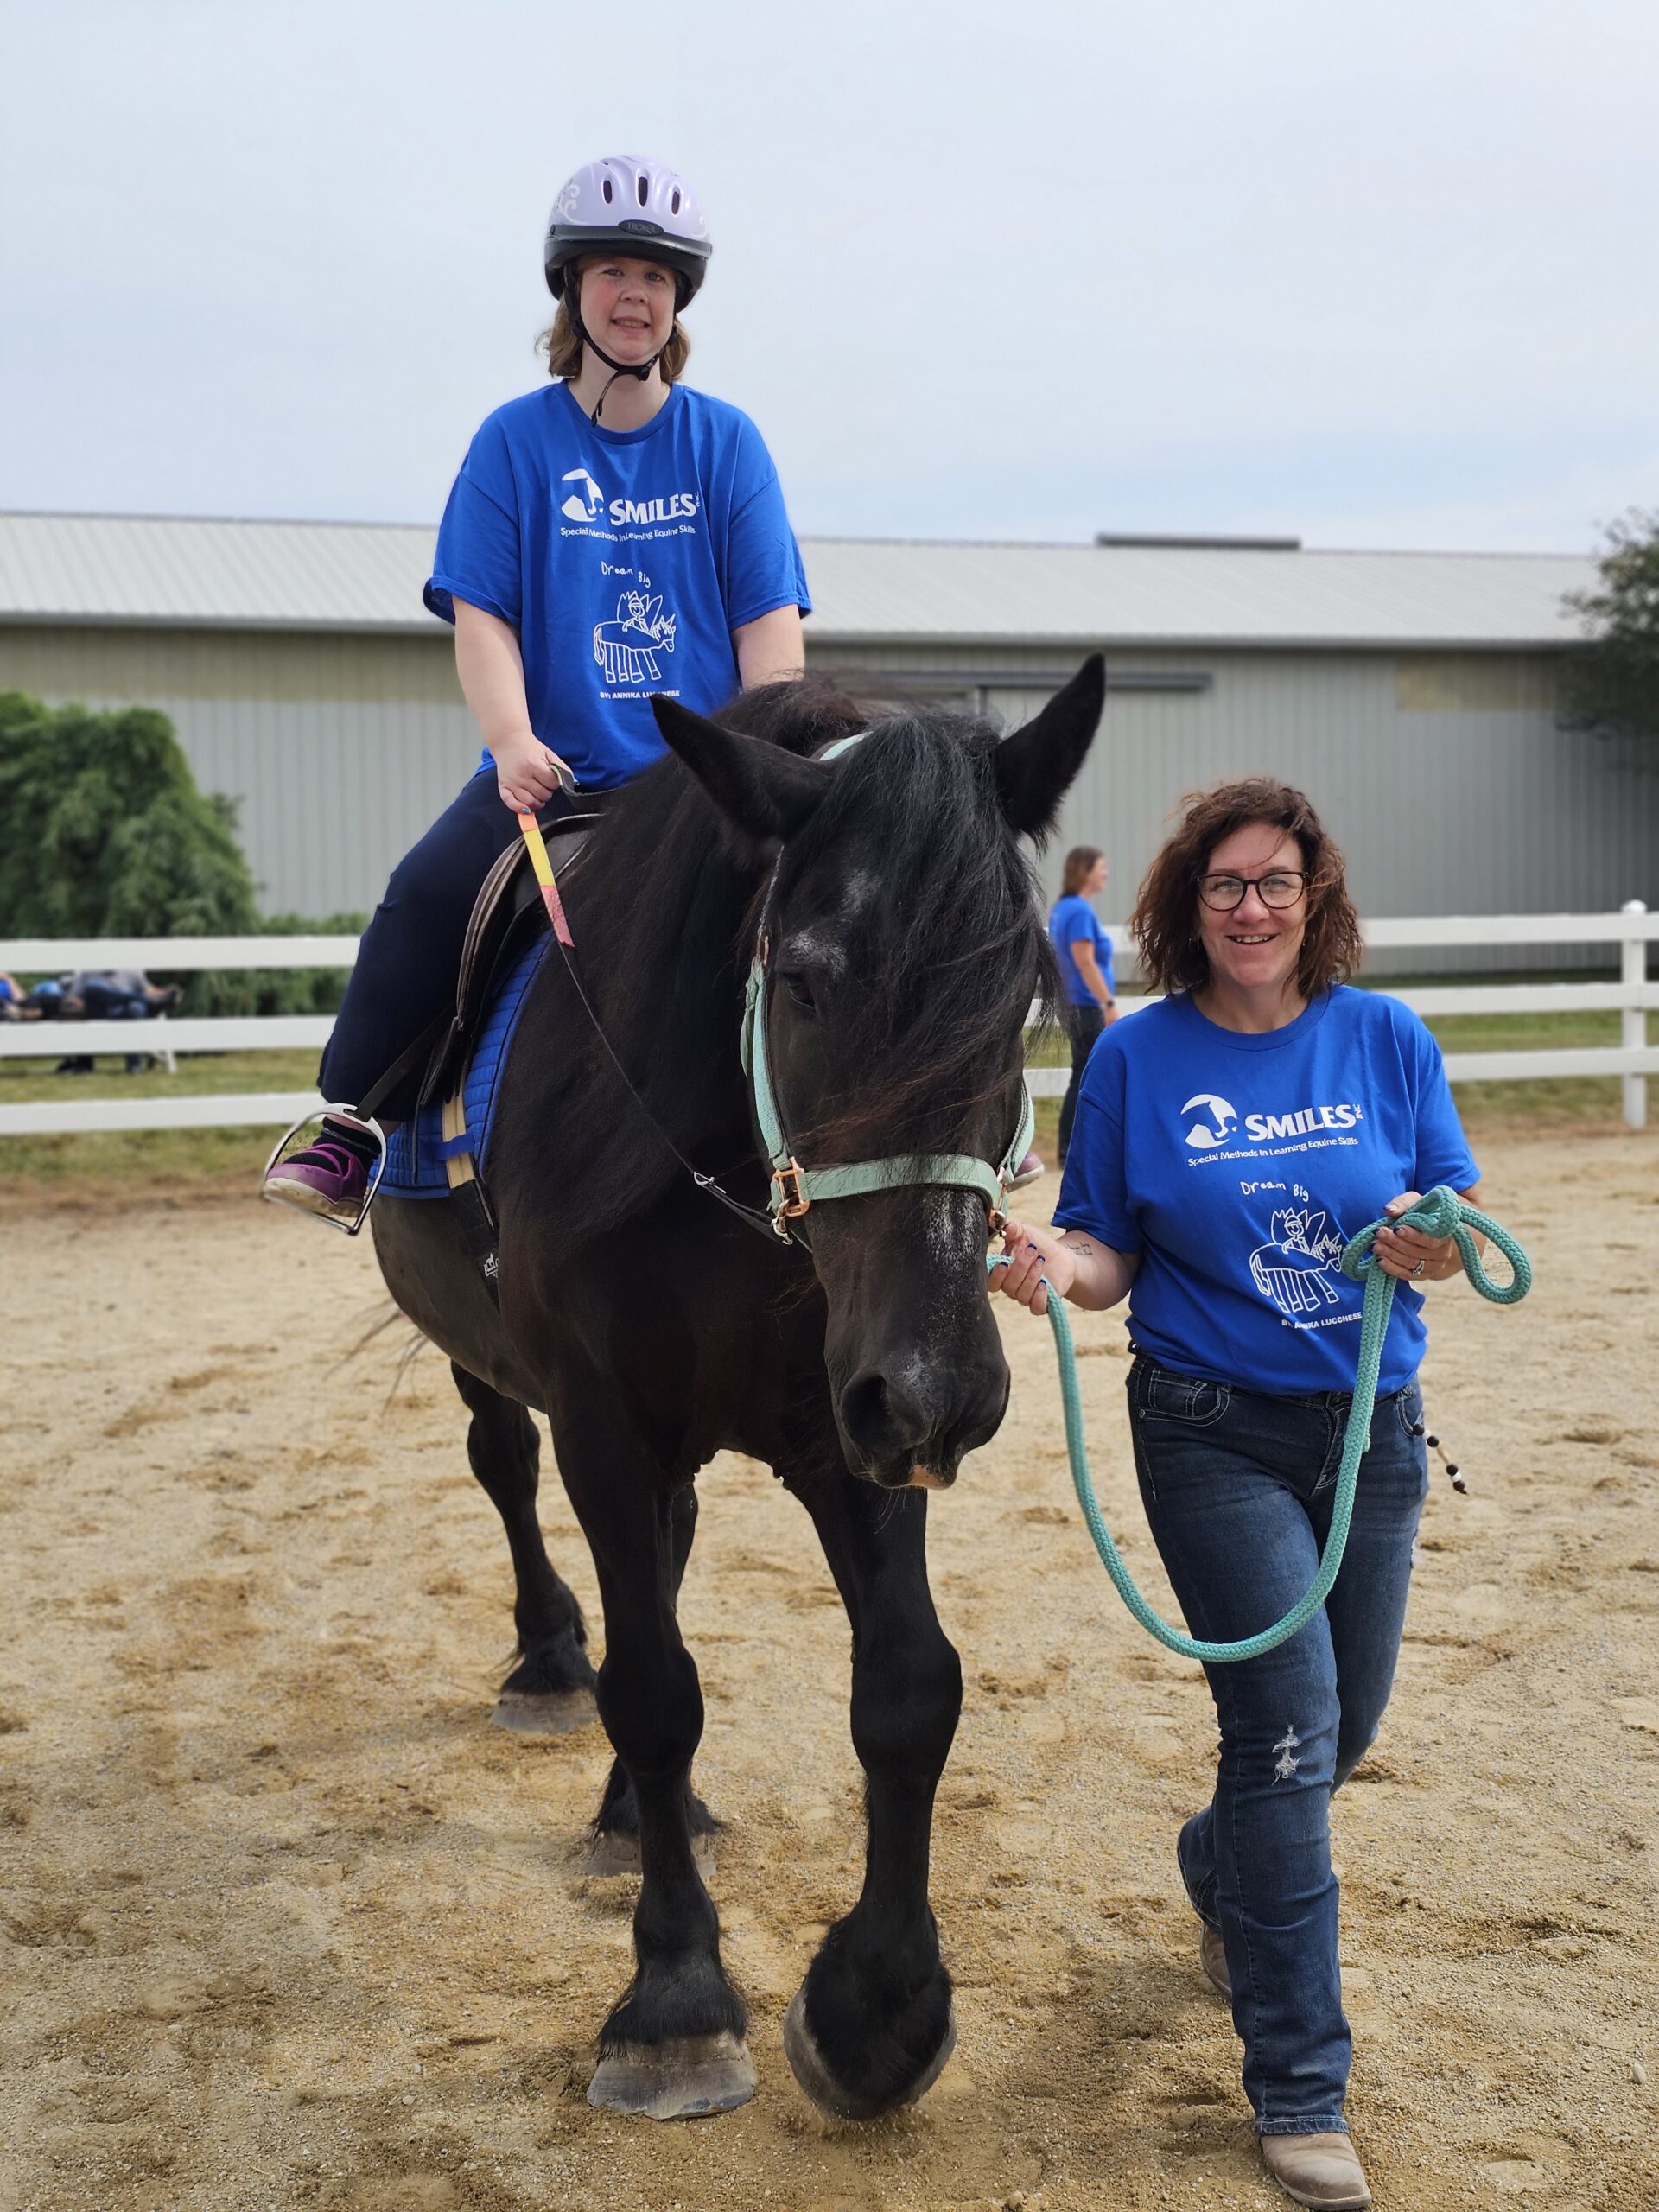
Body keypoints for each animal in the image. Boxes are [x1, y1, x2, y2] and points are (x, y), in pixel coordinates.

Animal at [373, 658, 1106, 2123]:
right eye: (809, 982)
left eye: (1023, 993)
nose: (951, 1388)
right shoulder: (604, 1424)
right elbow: (655, 1691)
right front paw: (675, 2001)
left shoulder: (855, 1426)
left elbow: (908, 1687)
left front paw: (882, 2006)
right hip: (490, 1362)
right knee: (511, 1481)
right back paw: (549, 1659)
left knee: (665, 1548)